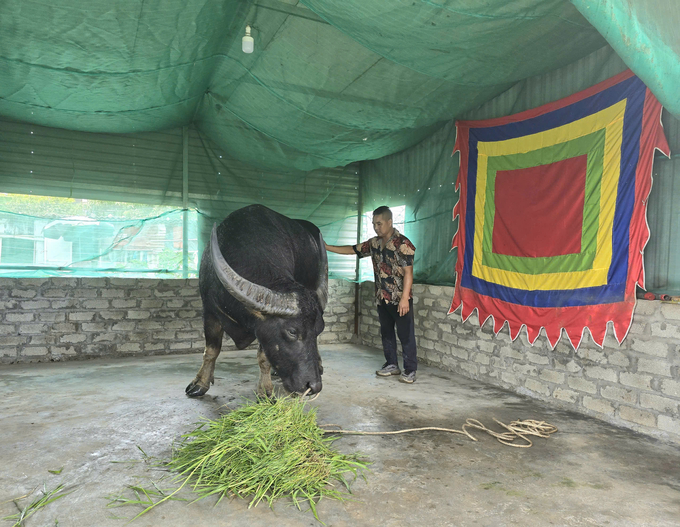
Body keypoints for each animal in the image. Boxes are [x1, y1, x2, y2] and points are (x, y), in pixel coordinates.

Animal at [183, 204, 326, 398]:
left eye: (319, 329)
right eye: (292, 332)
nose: (313, 386)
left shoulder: (262, 330)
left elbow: (263, 357)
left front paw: (265, 391)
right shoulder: (210, 311)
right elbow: (211, 350)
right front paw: (200, 383)